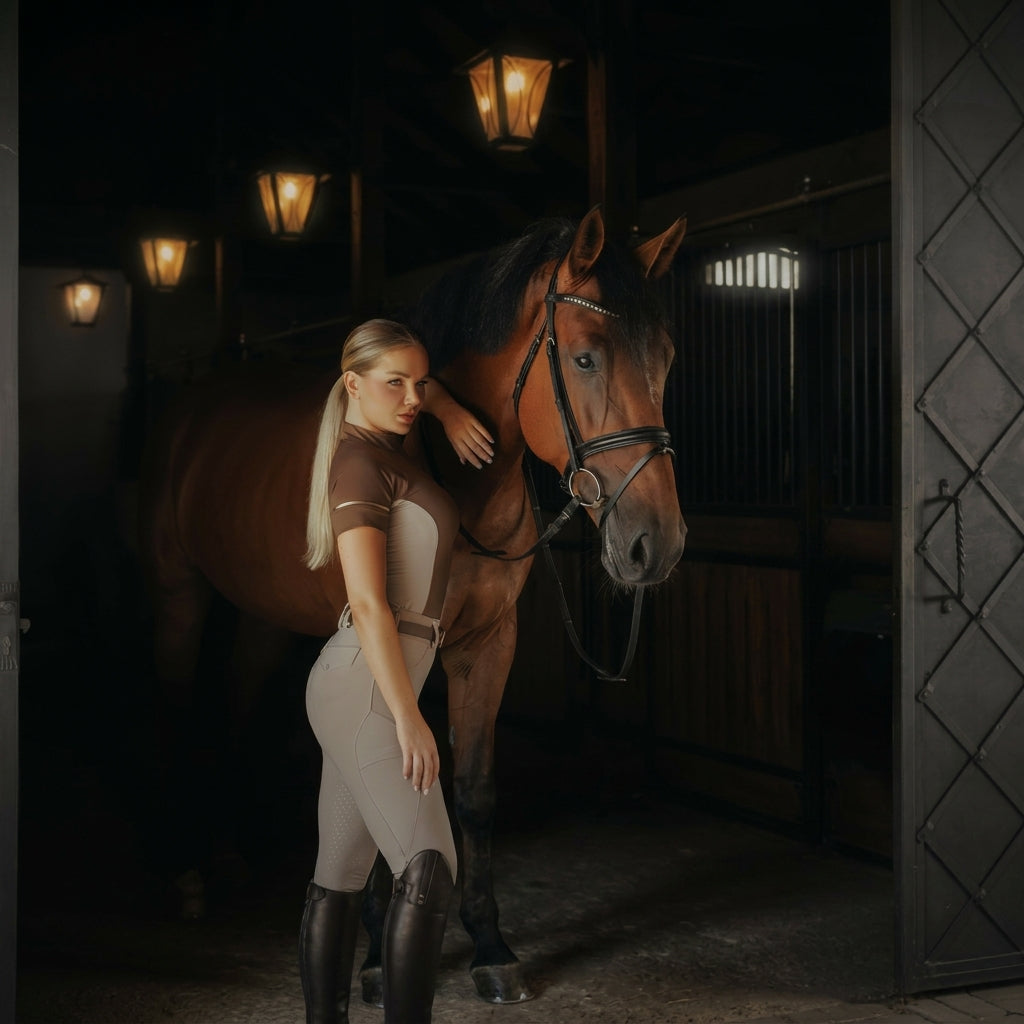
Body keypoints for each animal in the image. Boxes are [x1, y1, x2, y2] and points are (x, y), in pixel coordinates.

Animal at [137, 206, 687, 1003]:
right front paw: (371, 958)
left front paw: (490, 945)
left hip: (265, 617)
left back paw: (232, 858)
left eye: (666, 358)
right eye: (586, 359)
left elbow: (476, 791)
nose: (657, 543)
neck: (448, 478)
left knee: (238, 702)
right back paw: (186, 877)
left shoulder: (488, 644)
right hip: (180, 596)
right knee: (179, 715)